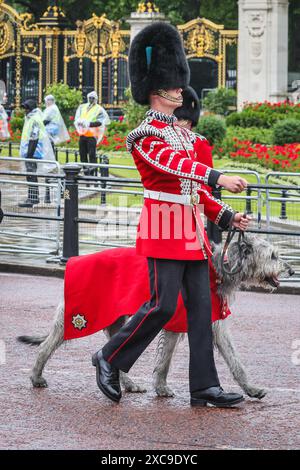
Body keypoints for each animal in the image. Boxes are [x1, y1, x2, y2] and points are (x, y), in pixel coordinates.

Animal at [17, 233, 294, 398]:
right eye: (272, 256)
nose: (291, 270)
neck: (218, 267)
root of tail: (75, 261)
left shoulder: (188, 321)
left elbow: (225, 357)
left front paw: (250, 389)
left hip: (117, 320)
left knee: (111, 349)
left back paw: (124, 383)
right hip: (78, 315)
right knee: (47, 345)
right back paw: (36, 376)